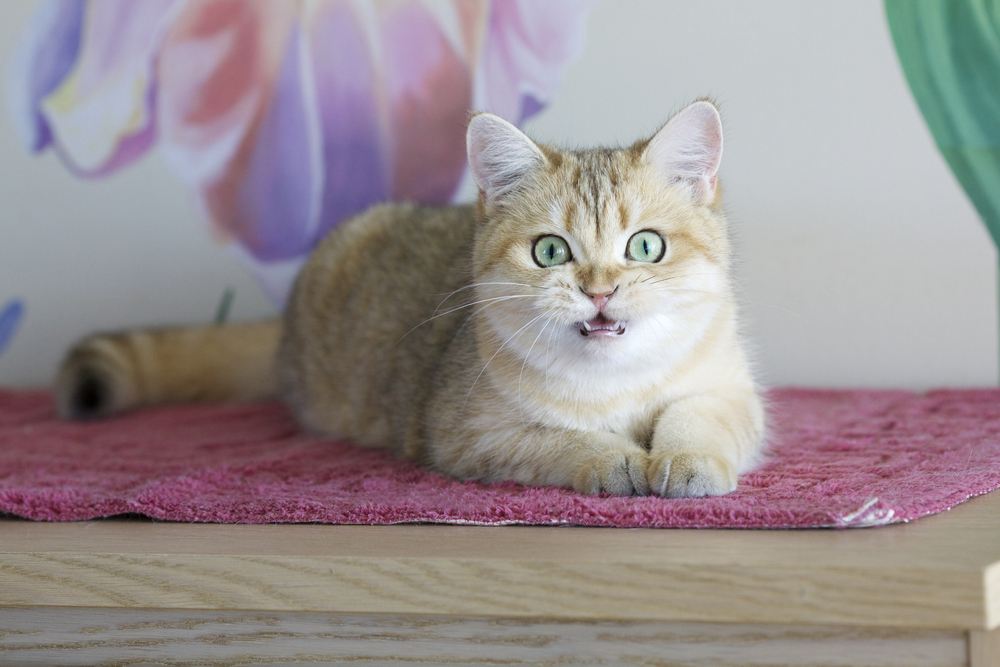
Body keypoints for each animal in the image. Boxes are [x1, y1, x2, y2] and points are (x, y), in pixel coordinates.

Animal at [54, 99, 764, 496]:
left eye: (645, 247)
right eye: (551, 252)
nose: (599, 289)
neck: (617, 384)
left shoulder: (728, 388)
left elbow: (700, 415)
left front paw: (687, 458)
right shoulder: (468, 432)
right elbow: (560, 439)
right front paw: (610, 457)